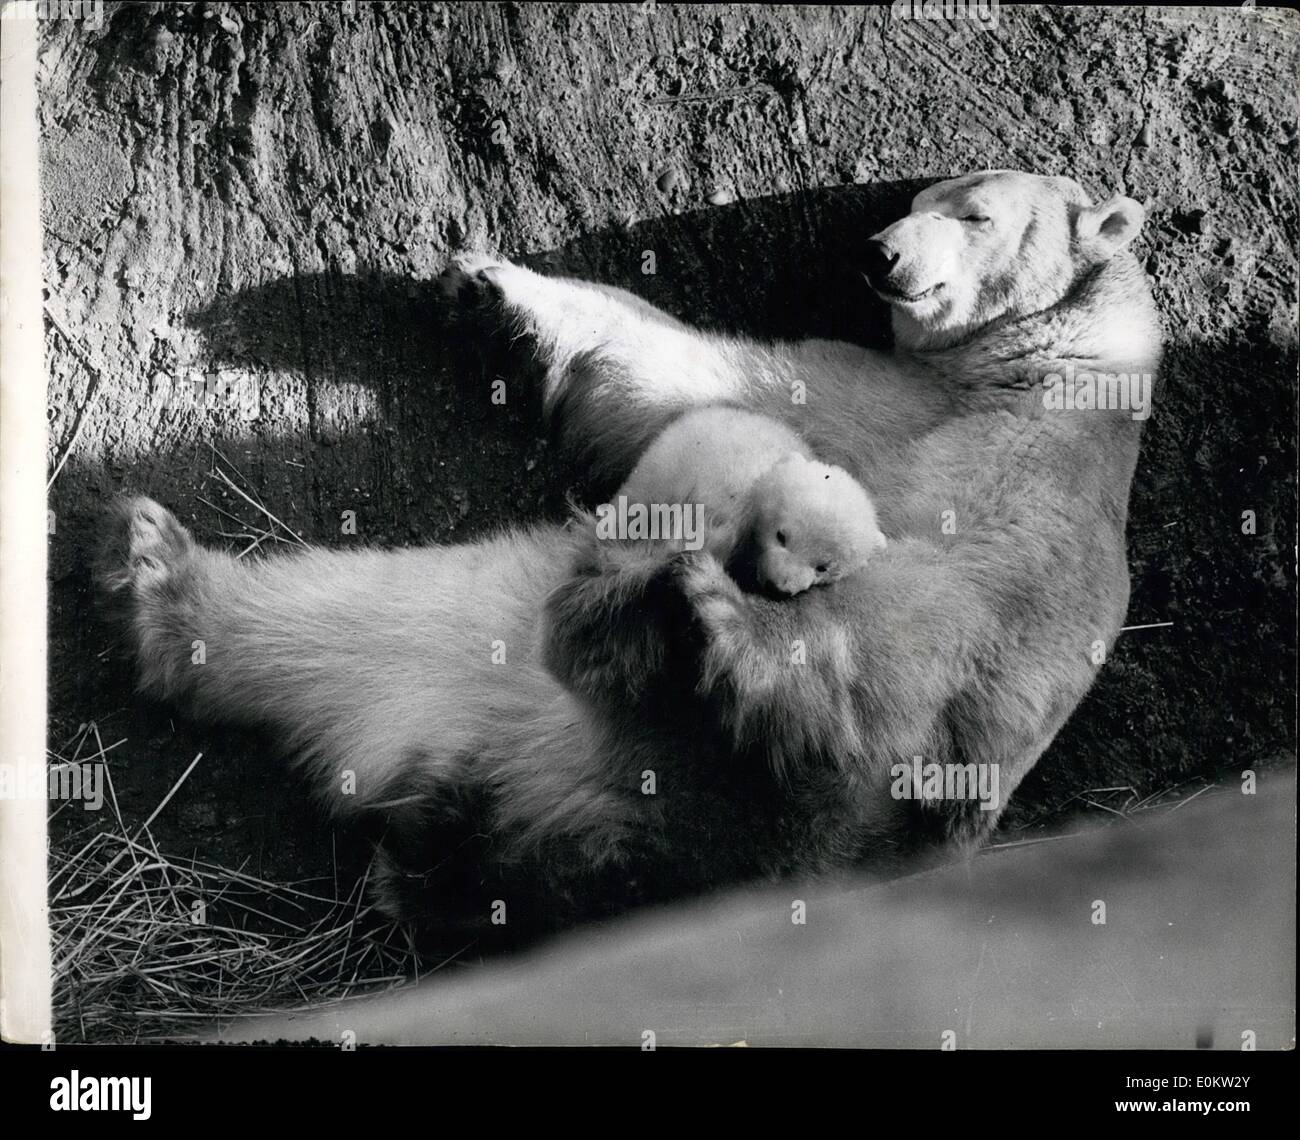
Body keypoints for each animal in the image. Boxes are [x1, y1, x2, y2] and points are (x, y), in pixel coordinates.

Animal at [101, 172, 1159, 930]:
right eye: (911, 201)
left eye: (974, 212)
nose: (879, 251)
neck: (1075, 361)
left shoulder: (928, 429)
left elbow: (705, 375)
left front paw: (492, 287)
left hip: (600, 690)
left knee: (414, 621)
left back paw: (170, 584)